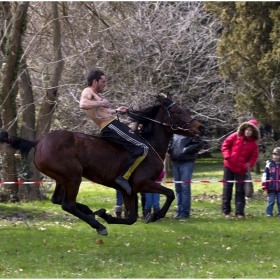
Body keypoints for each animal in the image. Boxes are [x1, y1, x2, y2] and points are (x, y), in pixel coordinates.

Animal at [0, 94, 206, 236]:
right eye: (178, 111)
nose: (200, 127)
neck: (149, 144)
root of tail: (39, 142)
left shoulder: (127, 190)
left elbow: (131, 218)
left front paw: (106, 215)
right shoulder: (142, 184)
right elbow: (170, 193)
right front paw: (154, 215)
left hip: (61, 178)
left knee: (58, 200)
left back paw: (90, 211)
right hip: (73, 176)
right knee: (67, 204)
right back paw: (98, 225)